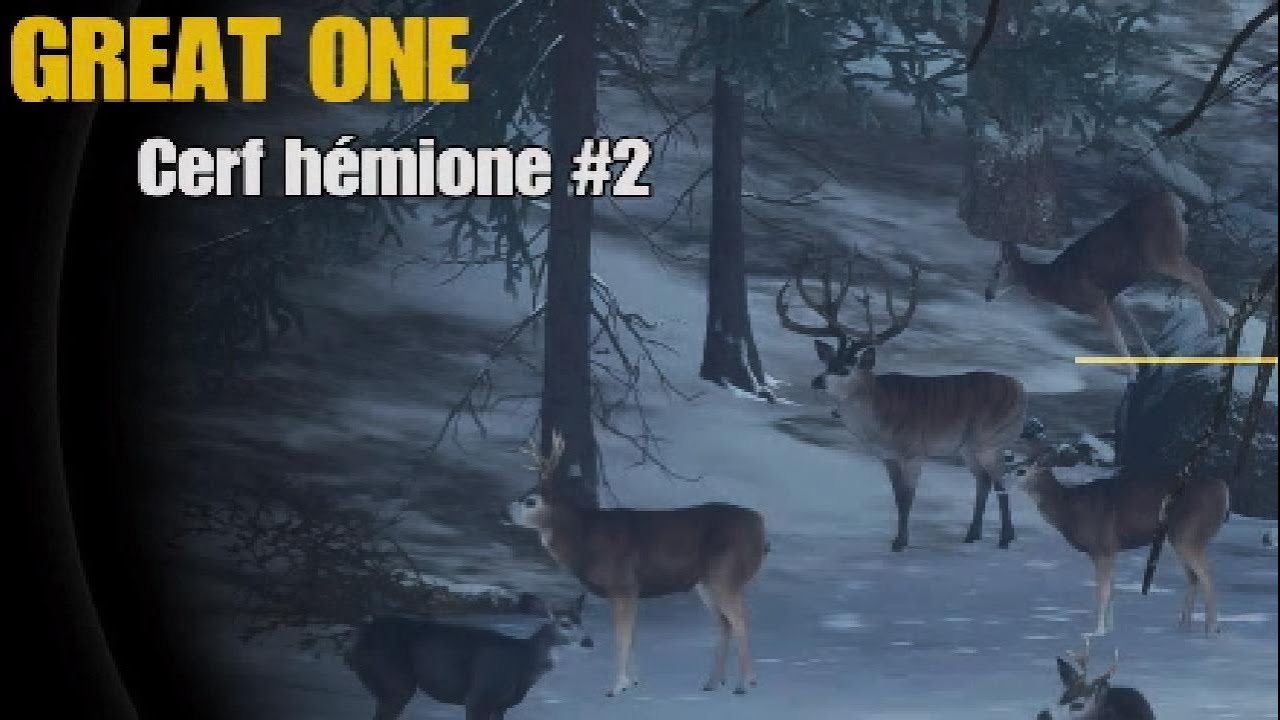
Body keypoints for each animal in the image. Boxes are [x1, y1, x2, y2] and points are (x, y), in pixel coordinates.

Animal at [346, 594, 592, 720]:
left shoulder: (500, 705)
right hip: (395, 679)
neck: (523, 661)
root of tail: (360, 636)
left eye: (581, 621)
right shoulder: (479, 696)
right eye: (565, 624)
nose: (588, 641)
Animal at [505, 433, 768, 698]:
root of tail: (759, 524)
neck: (584, 540)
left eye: (531, 501)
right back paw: (713, 682)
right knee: (724, 622)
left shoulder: (623, 585)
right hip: (704, 582)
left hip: (726, 573)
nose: (506, 512)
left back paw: (745, 683)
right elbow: (632, 637)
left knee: (741, 618)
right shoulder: (633, 591)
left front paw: (616, 687)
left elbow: (622, 637)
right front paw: (633, 683)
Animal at [777, 251, 1028, 552]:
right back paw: (972, 536)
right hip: (969, 446)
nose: (816, 381)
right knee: (984, 482)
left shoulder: (914, 451)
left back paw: (1005, 538)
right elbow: (898, 498)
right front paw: (897, 539)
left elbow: (908, 499)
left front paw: (900, 544)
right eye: (828, 363)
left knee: (1000, 482)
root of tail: (1021, 389)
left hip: (992, 438)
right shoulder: (888, 456)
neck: (880, 420)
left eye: (846, 368)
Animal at [985, 189, 1228, 381]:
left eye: (996, 273)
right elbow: (1133, 323)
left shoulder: (1094, 300)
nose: (987, 295)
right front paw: (1153, 359)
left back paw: (1220, 324)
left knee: (1196, 274)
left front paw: (1132, 375)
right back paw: (1215, 324)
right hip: (1175, 250)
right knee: (1195, 277)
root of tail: (1177, 202)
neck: (1055, 283)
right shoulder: (1112, 294)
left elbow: (1116, 337)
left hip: (1161, 254)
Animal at [1013, 457, 1228, 637]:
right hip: (1178, 536)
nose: (1007, 477)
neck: (1068, 509)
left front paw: (1098, 631)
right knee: (1194, 576)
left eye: (1021, 471)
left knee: (1207, 575)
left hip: (1190, 531)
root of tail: (1223, 489)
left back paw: (1212, 628)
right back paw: (1184, 625)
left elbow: (1102, 592)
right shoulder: (1112, 549)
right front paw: (1110, 628)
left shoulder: (1101, 546)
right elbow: (1112, 590)